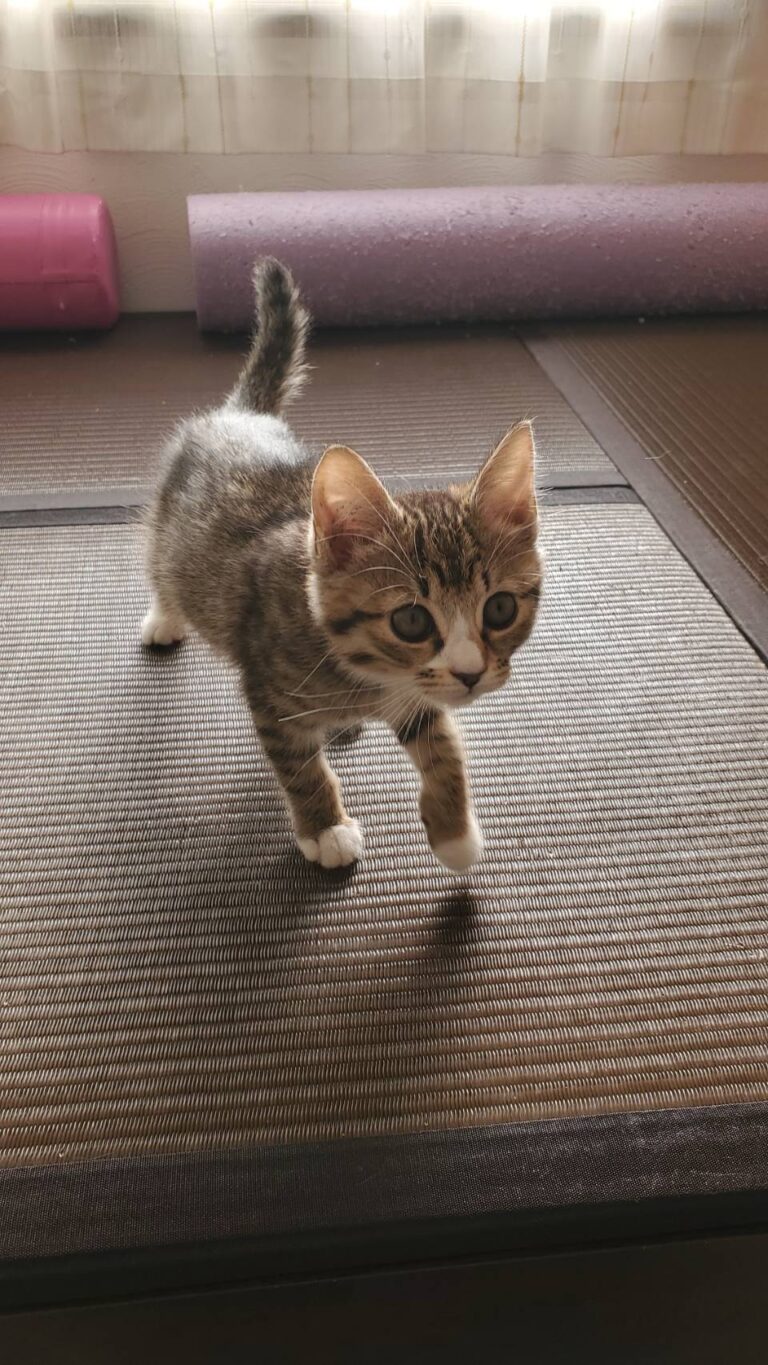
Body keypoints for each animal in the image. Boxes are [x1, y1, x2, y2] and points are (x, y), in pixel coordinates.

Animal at [142, 259, 542, 871]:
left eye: (499, 609)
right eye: (411, 620)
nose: (472, 674)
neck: (367, 673)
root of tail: (242, 414)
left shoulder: (416, 693)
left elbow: (441, 741)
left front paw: (454, 832)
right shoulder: (270, 695)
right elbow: (300, 767)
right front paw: (325, 828)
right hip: (168, 526)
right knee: (162, 568)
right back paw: (163, 618)